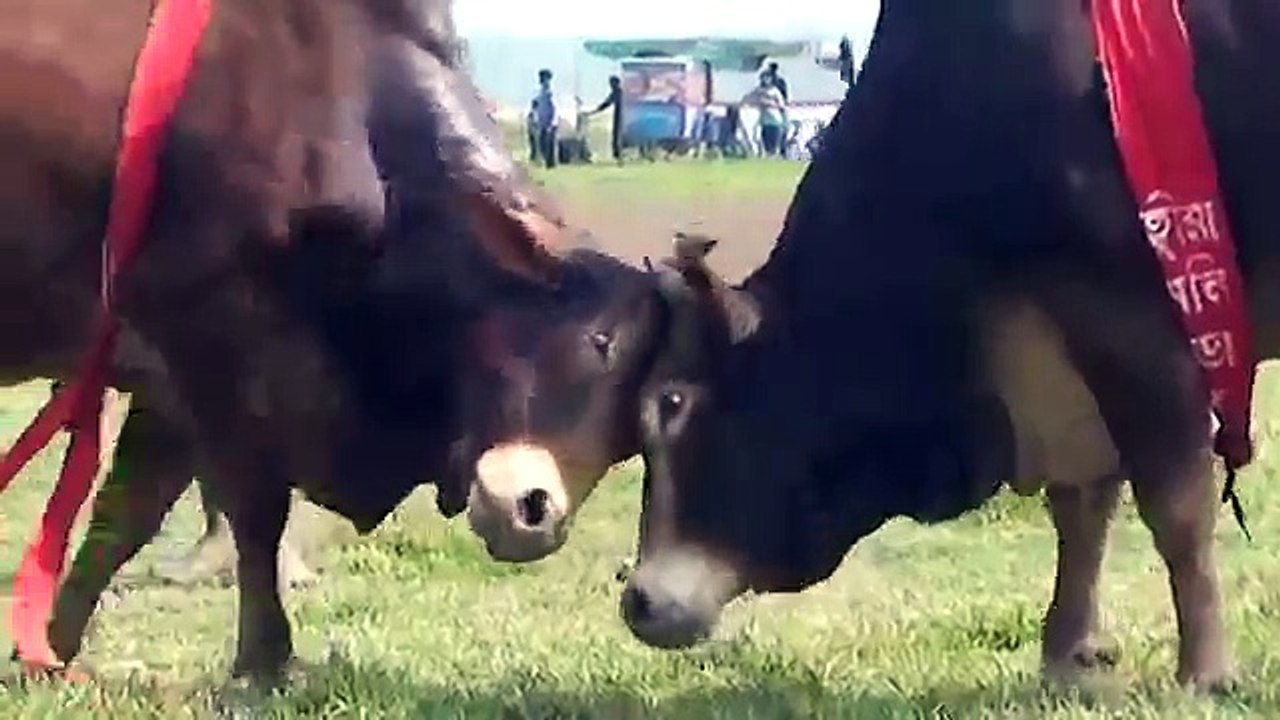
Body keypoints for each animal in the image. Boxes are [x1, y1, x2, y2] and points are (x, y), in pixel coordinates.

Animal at [1, 0, 669, 680]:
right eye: (599, 341)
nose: (535, 515)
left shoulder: (167, 379)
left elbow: (125, 516)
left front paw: (48, 653)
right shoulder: (212, 346)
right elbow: (254, 510)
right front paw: (263, 661)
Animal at [617, 0, 1280, 694]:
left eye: (670, 403)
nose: (639, 599)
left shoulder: (1135, 317)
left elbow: (1177, 510)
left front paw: (1206, 672)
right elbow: (1081, 509)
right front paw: (1066, 655)